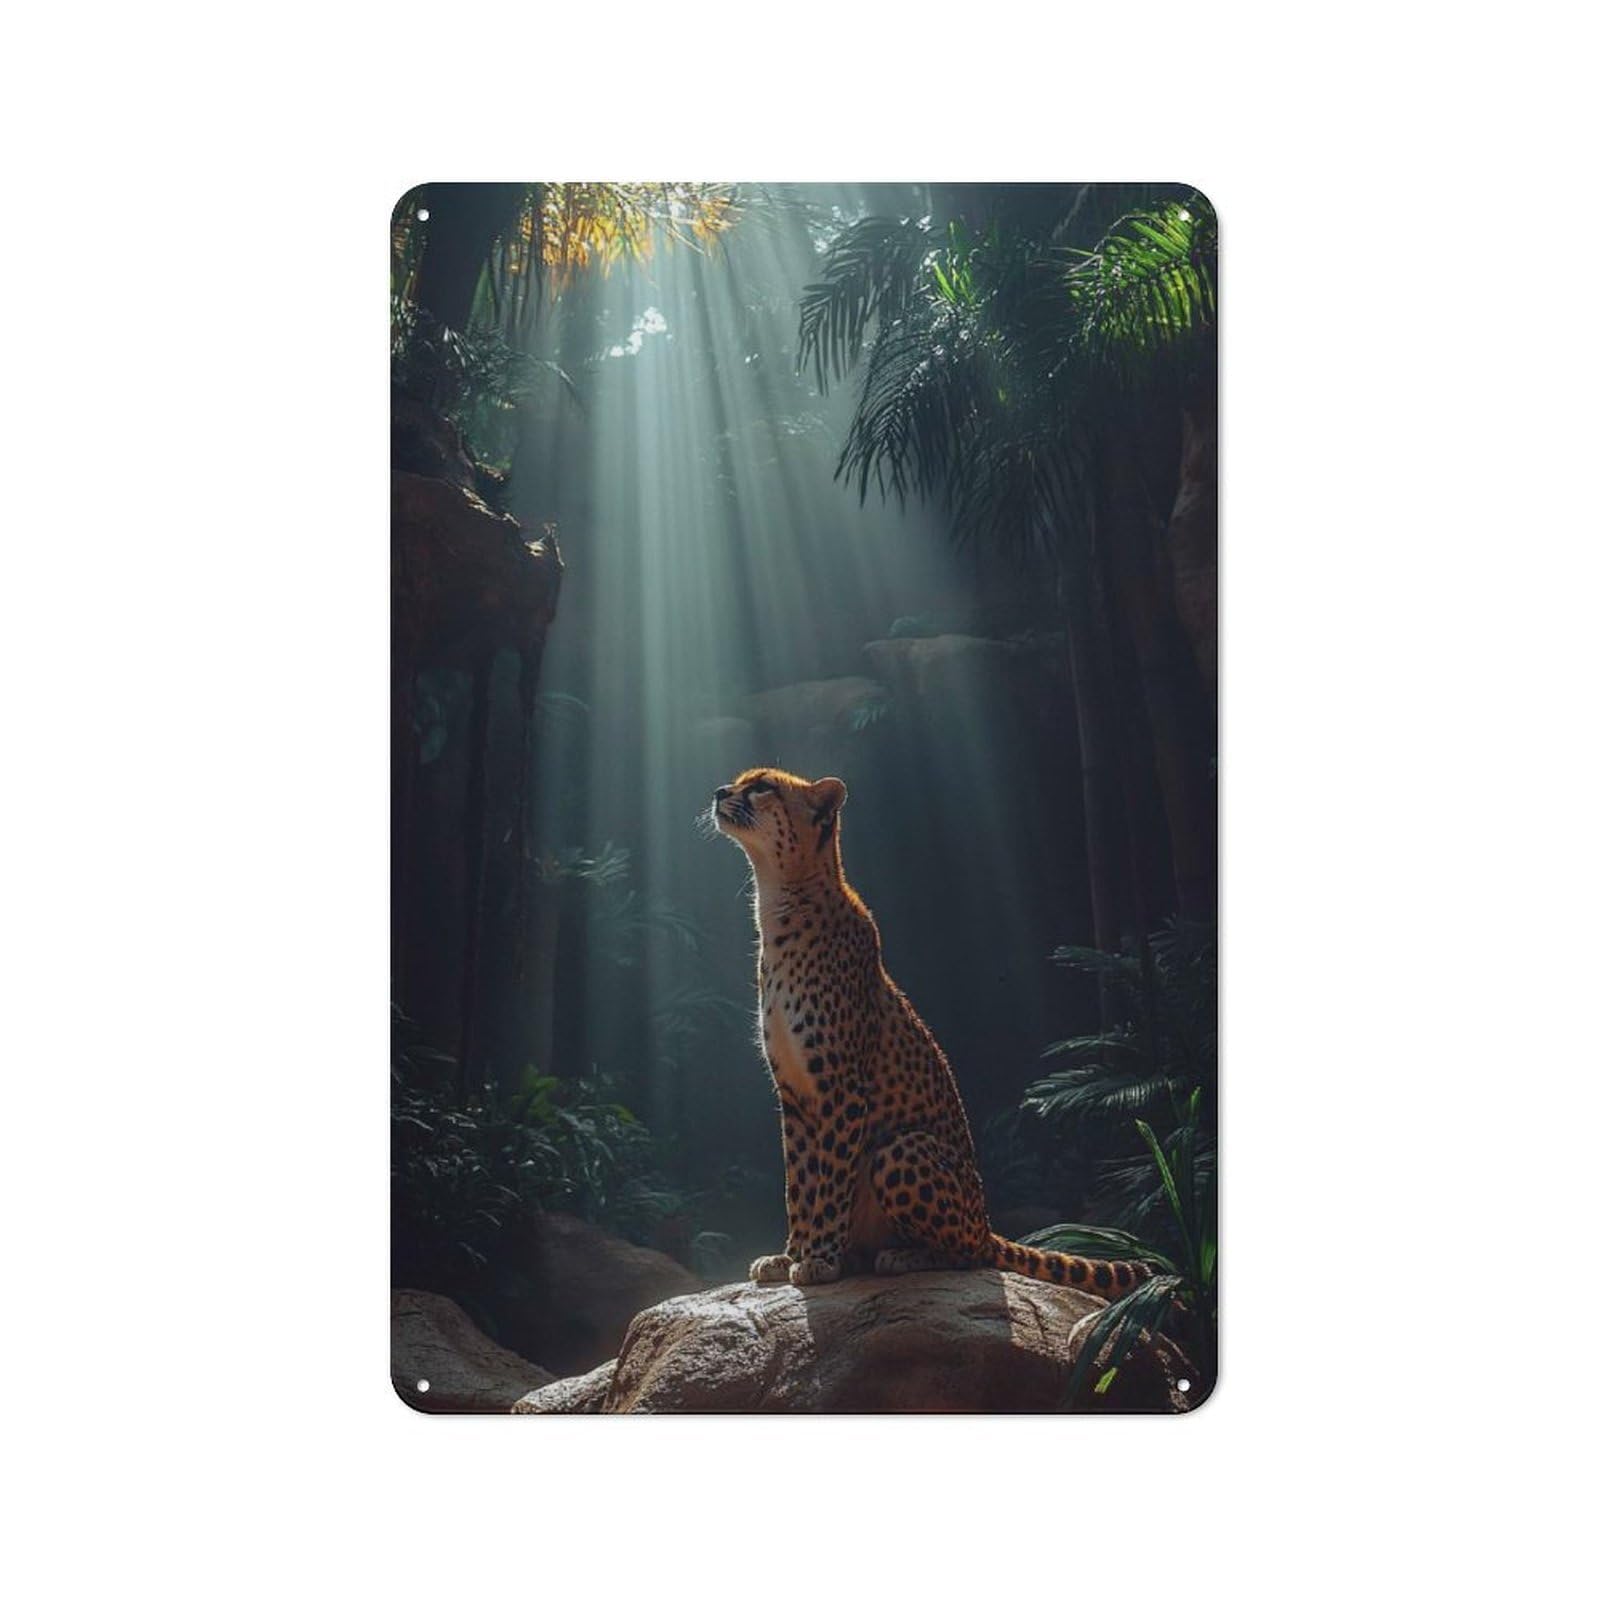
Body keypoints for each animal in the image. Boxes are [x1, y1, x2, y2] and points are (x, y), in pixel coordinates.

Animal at [711, 765, 1153, 1299]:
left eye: (762, 787)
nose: (719, 792)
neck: (779, 900)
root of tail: (987, 1224)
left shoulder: (841, 1091)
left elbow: (830, 1181)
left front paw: (818, 1258)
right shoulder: (794, 1095)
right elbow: (799, 1183)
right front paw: (792, 1253)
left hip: (903, 1148)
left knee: (968, 1254)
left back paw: (903, 1255)